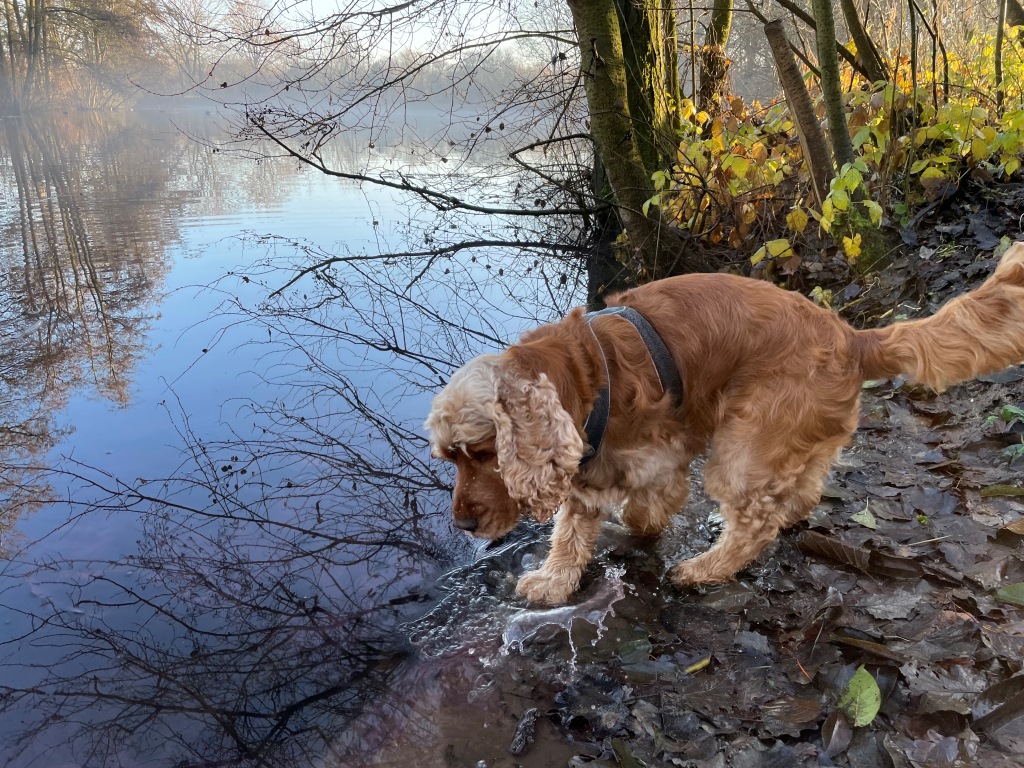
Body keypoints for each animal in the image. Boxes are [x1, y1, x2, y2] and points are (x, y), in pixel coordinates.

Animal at [421, 243, 1024, 606]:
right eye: (449, 458)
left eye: (483, 452)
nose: (464, 525)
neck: (582, 374)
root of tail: (855, 338)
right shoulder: (592, 462)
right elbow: (573, 528)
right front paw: (554, 579)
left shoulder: (656, 451)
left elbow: (635, 505)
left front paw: (638, 526)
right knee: (802, 491)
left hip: (743, 446)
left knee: (755, 524)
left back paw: (704, 569)